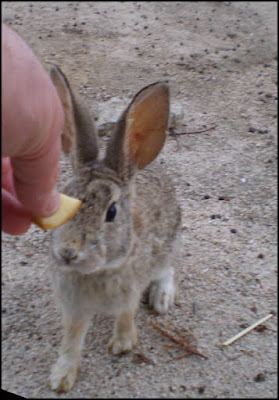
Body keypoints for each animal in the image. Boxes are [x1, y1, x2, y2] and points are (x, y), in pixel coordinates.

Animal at [47, 64, 183, 392]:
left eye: (111, 212)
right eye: (61, 201)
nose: (68, 252)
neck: (99, 271)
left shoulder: (129, 291)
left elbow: (126, 314)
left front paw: (123, 344)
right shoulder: (74, 306)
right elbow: (72, 337)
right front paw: (61, 377)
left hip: (168, 245)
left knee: (168, 269)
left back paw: (162, 299)